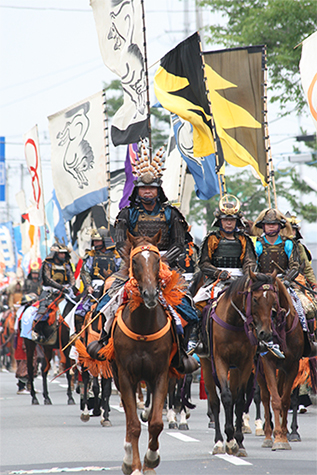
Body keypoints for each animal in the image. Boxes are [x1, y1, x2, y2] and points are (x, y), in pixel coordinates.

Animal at [108, 231, 179, 475]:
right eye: (135, 262)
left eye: (157, 261)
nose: (149, 295)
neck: (143, 327)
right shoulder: (125, 377)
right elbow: (134, 425)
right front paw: (135, 465)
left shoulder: (160, 375)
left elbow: (156, 423)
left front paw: (150, 460)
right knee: (130, 420)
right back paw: (128, 457)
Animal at [199, 270, 278, 456]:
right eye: (255, 299)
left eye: (273, 299)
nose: (265, 333)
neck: (234, 322)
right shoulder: (220, 361)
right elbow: (226, 397)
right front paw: (227, 439)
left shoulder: (245, 363)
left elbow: (240, 400)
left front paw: (238, 442)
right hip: (207, 364)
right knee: (215, 401)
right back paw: (219, 441)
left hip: (235, 369)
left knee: (236, 397)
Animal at [256, 278, 304, 450]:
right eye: (255, 299)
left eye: (273, 298)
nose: (264, 333)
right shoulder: (268, 363)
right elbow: (275, 400)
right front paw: (276, 438)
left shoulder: (293, 366)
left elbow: (286, 400)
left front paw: (284, 435)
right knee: (264, 396)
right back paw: (267, 433)